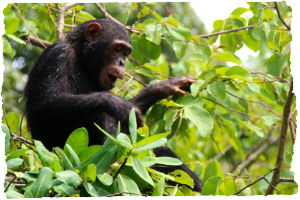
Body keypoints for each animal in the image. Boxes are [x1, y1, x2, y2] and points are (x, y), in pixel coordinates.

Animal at [25, 18, 203, 192]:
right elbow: (45, 104)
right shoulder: (57, 55)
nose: (122, 62)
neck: (82, 61)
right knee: (100, 114)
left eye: (126, 53)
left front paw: (162, 87)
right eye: (117, 49)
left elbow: (132, 117)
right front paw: (117, 104)